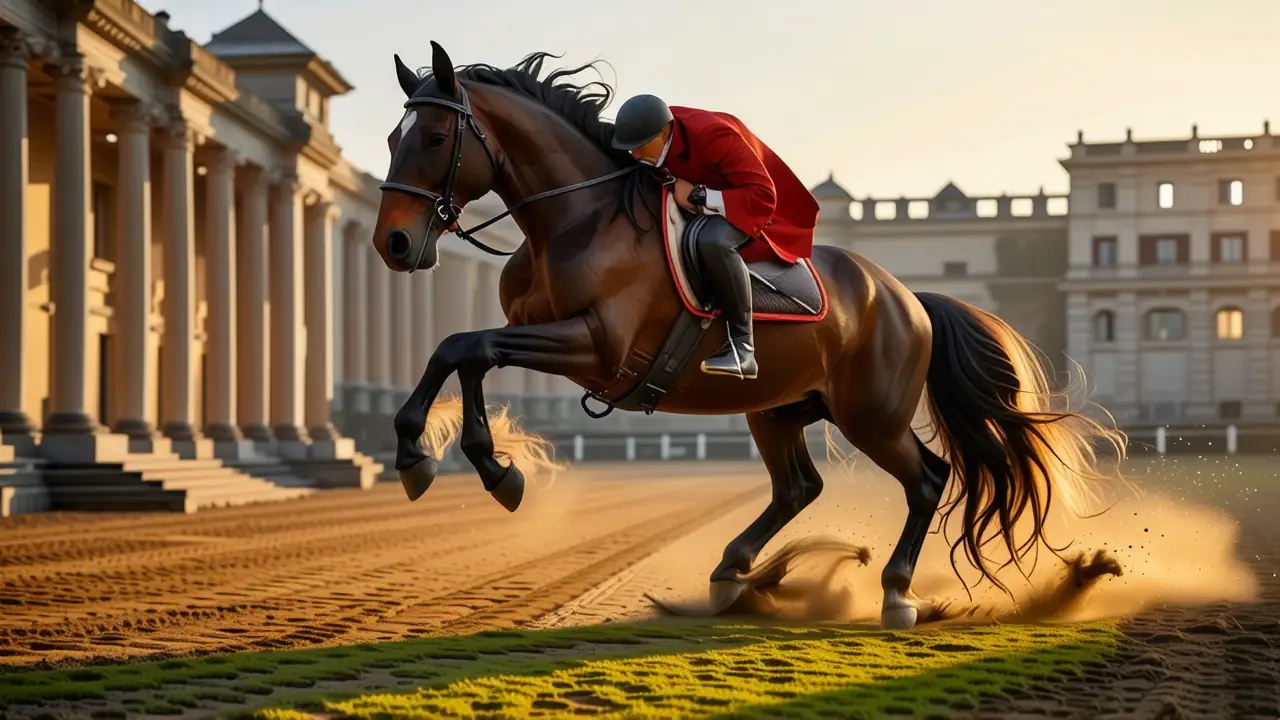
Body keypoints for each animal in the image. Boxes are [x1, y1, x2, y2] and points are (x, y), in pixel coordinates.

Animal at [369, 41, 1127, 630]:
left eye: (434, 139)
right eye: (392, 140)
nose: (394, 245)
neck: (579, 218)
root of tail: (908, 296)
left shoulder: (596, 347)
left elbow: (466, 348)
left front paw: (464, 461)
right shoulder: (538, 336)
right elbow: (461, 351)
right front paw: (445, 458)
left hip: (870, 415)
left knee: (927, 479)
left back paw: (894, 594)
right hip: (780, 407)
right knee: (798, 488)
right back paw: (734, 574)